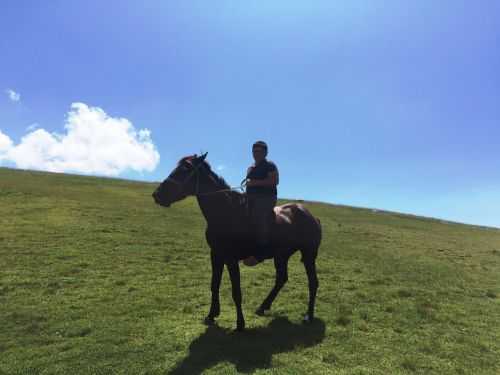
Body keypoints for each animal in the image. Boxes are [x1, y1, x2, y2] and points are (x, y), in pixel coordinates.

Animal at [152, 153, 322, 332]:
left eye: (186, 169)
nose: (157, 194)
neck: (226, 212)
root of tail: (312, 217)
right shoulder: (216, 255)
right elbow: (214, 284)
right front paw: (211, 315)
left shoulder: (230, 258)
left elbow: (236, 292)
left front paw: (240, 323)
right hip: (281, 256)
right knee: (281, 279)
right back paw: (263, 307)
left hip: (308, 255)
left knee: (313, 282)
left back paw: (308, 315)